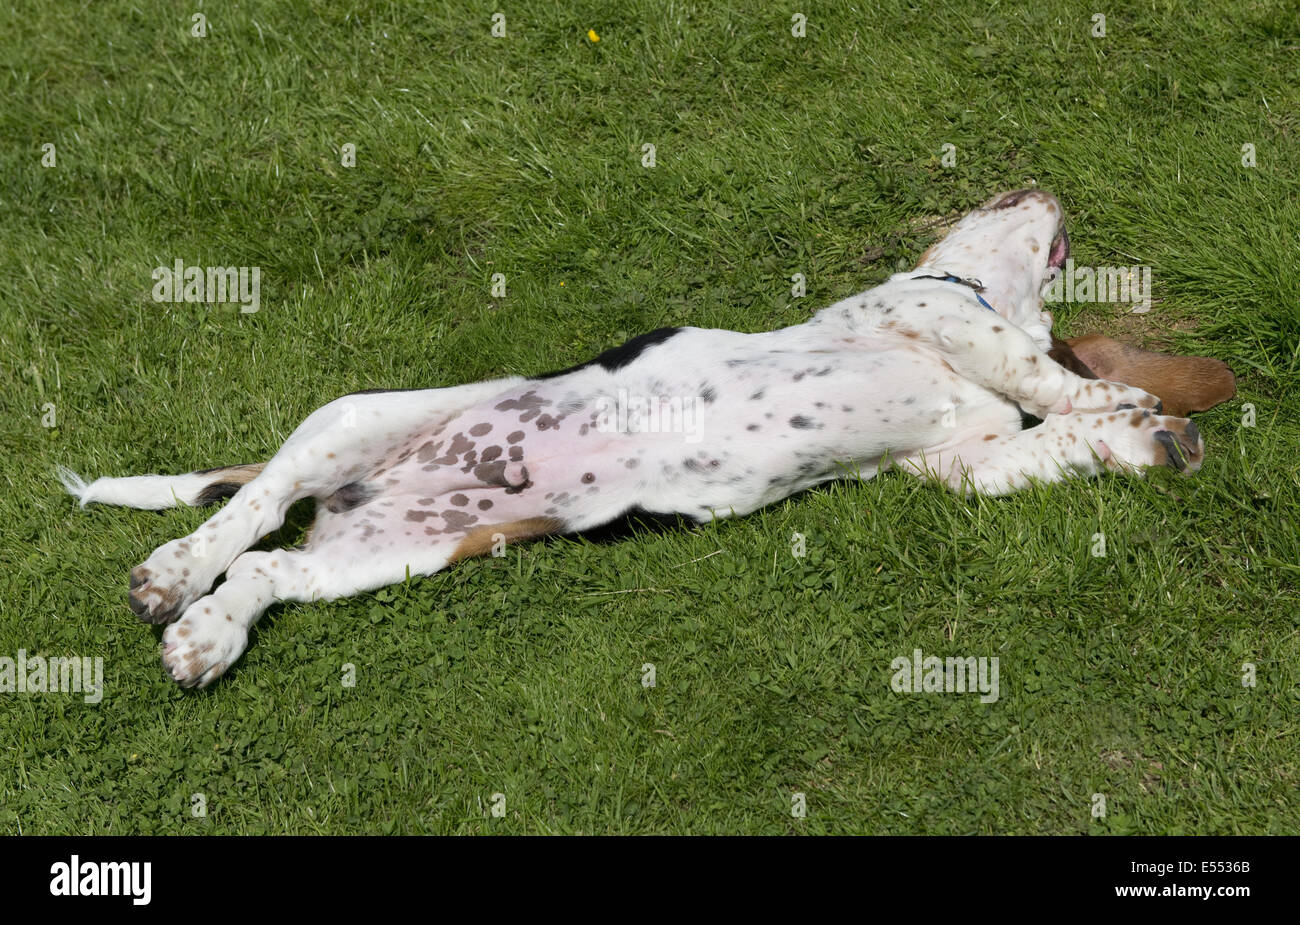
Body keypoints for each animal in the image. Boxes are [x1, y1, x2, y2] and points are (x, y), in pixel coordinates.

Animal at [61, 189, 1232, 685]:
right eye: (1001, 197)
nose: (1043, 179)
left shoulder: (958, 463)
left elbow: (1033, 442)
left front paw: (1142, 442)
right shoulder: (932, 318)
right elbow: (1044, 376)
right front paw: (1119, 407)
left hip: (396, 552)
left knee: (268, 569)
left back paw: (206, 637)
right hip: (356, 416)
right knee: (250, 508)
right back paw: (171, 576)